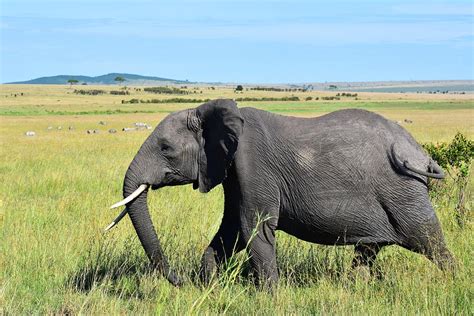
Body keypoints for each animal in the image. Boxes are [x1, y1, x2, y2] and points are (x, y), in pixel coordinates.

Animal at [108, 98, 456, 286]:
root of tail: (420, 152)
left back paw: (455, 282)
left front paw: (269, 298)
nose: (179, 281)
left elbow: (253, 227)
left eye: (166, 148)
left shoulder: (253, 164)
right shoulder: (234, 172)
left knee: (431, 241)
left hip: (404, 193)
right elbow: (232, 230)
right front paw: (209, 287)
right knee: (368, 251)